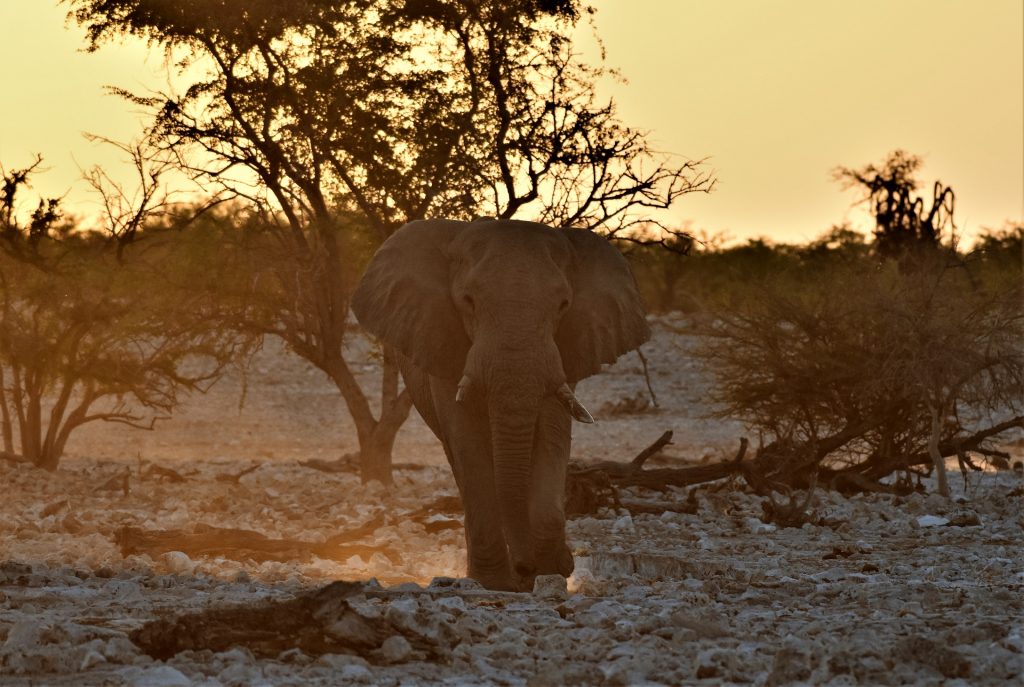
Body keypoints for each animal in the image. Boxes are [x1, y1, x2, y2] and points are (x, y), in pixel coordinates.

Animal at [354, 216, 647, 589]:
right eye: (468, 301)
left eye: (563, 305)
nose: (526, 569)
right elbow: (468, 442)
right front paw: (497, 583)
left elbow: (551, 431)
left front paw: (553, 571)